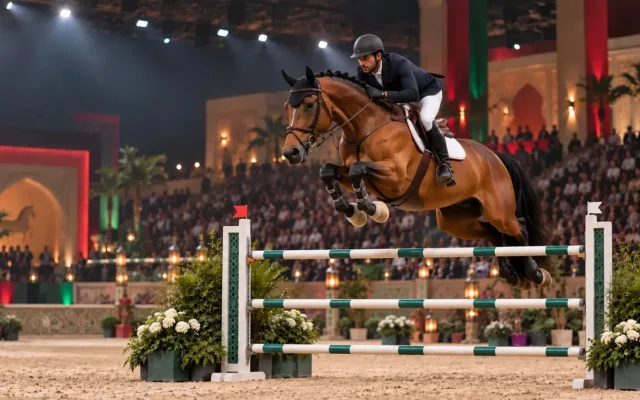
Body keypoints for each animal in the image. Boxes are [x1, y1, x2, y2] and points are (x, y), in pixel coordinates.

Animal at [279, 66, 552, 290]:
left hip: (498, 210)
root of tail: (495, 157)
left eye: (309, 105)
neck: (365, 126)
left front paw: (371, 209)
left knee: (518, 228)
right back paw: (511, 275)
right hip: (456, 220)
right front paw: (350, 210)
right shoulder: (350, 172)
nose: (290, 153)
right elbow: (327, 171)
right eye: (287, 107)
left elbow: (358, 169)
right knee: (493, 233)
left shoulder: (396, 177)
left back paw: (535, 273)